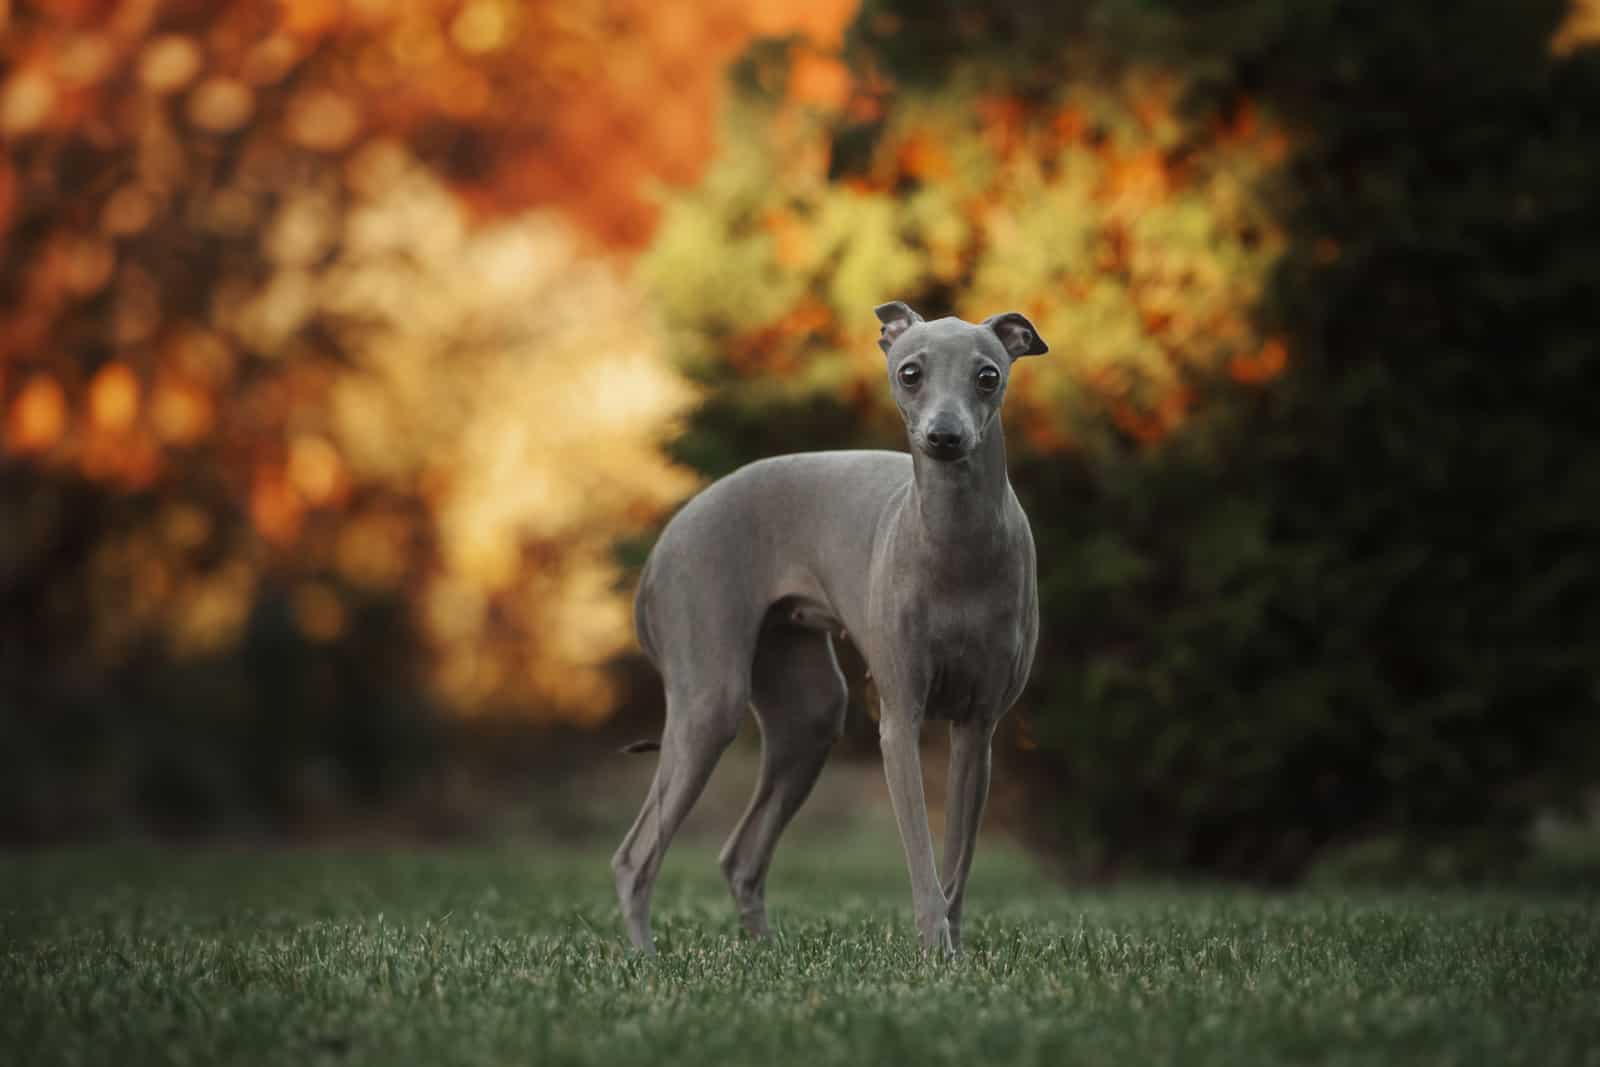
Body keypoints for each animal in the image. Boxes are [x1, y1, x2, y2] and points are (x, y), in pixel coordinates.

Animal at [604, 302, 1043, 959]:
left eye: (988, 376)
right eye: (910, 372)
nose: (944, 437)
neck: (954, 541)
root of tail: (663, 544)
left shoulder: (978, 727)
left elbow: (956, 866)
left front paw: (954, 954)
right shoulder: (900, 719)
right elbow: (922, 858)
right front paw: (935, 950)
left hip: (807, 711)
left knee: (740, 856)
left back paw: (765, 952)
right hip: (709, 698)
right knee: (635, 857)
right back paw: (646, 959)